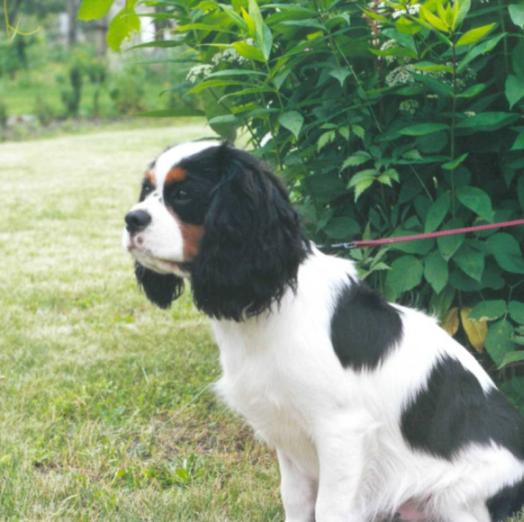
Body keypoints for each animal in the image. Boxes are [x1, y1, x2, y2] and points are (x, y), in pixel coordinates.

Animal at [122, 139, 524, 520]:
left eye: (182, 194)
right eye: (147, 189)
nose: (131, 218)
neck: (271, 307)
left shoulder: (342, 431)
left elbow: (329, 508)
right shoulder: (288, 435)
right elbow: (295, 501)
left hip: (456, 498)